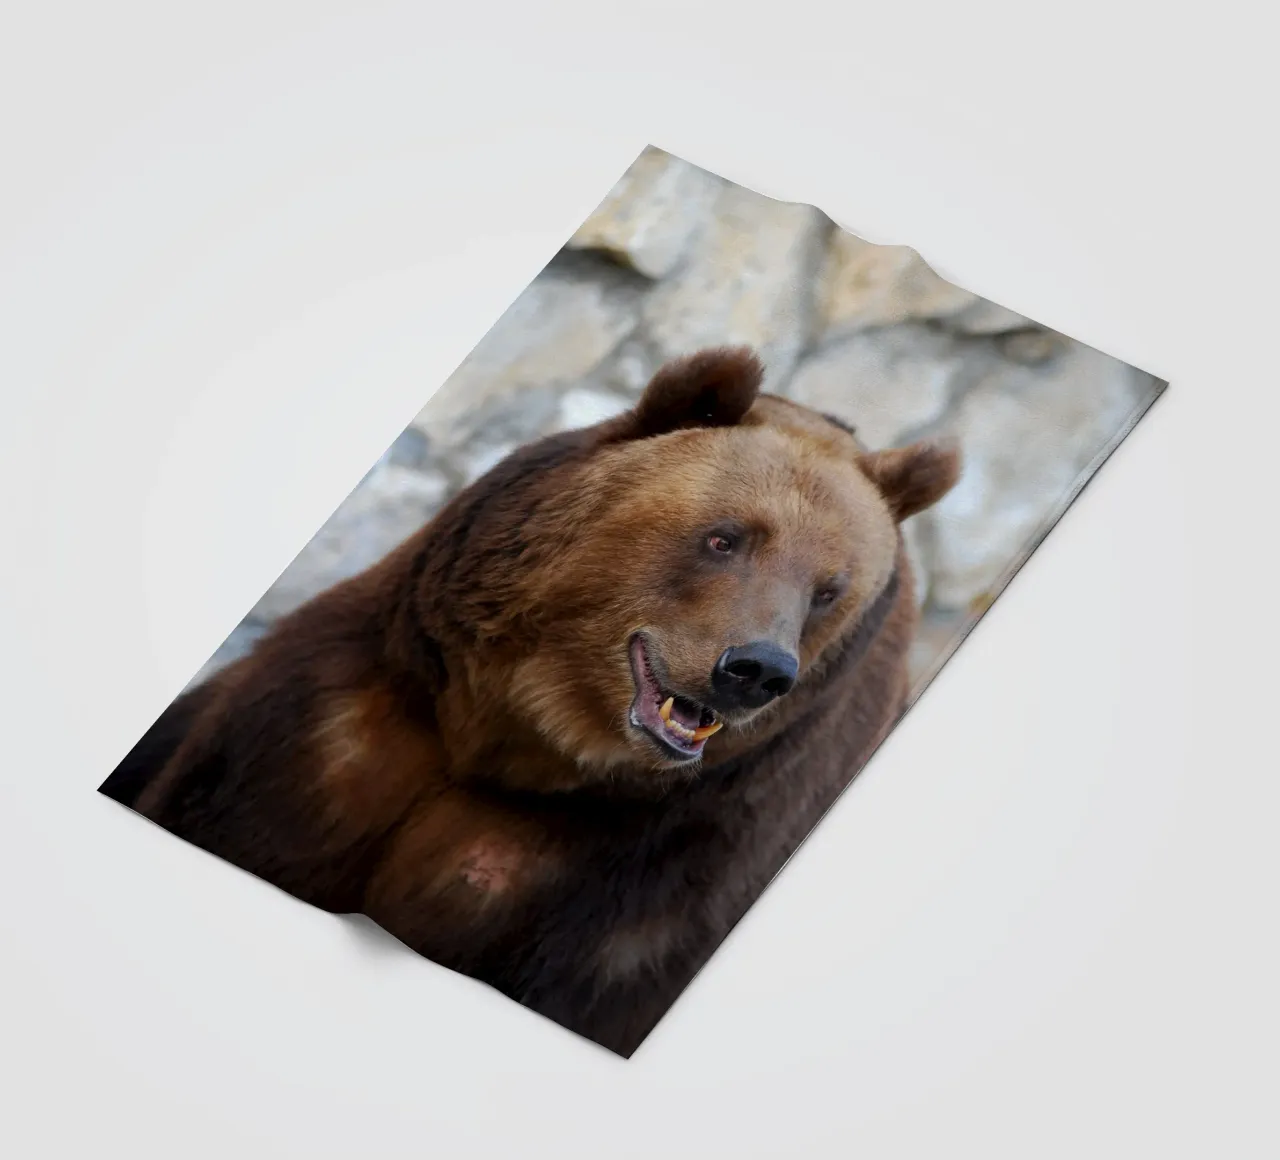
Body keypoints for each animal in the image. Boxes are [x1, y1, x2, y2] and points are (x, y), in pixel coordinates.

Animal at [101, 346, 960, 1057]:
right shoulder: (348, 725)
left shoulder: (646, 879)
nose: (755, 668)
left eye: (828, 590)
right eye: (726, 536)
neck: (520, 738)